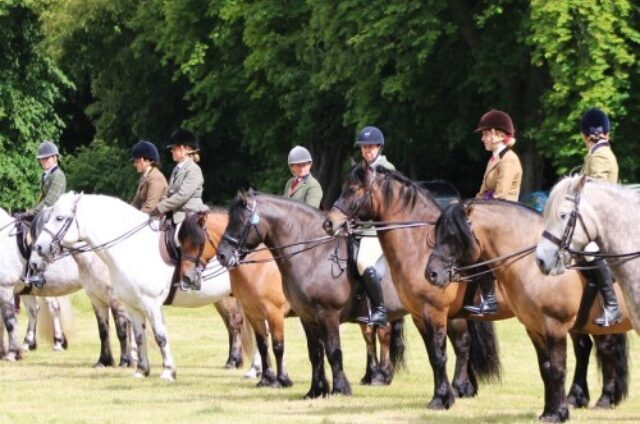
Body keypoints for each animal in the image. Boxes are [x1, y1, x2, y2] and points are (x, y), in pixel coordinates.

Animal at [31, 192, 254, 380]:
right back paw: (250, 369)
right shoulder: (131, 305)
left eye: (59, 218)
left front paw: (168, 371)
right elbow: (138, 336)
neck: (131, 247)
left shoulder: (150, 304)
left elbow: (160, 336)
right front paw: (141, 370)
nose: (39, 249)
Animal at [179, 209, 405, 387]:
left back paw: (382, 376)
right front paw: (266, 379)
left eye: (196, 242)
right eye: (180, 242)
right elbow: (263, 345)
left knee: (382, 334)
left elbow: (278, 345)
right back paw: (370, 375)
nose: (186, 277)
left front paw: (282, 379)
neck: (259, 266)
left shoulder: (274, 313)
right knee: (369, 336)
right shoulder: (254, 314)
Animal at [216, 191, 493, 400]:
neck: (312, 254)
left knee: (462, 344)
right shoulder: (307, 318)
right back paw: (466, 387)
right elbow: (314, 353)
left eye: (239, 222)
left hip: (444, 313)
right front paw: (316, 390)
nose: (221, 255)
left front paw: (340, 388)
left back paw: (458, 387)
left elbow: (332, 351)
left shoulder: (325, 314)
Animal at [323, 165, 502, 409]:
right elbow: (434, 355)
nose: (329, 223)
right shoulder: (420, 315)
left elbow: (440, 354)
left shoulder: (435, 312)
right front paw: (442, 395)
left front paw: (442, 398)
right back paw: (464, 387)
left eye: (352, 189)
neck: (419, 247)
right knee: (463, 344)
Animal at [425, 199, 632, 421]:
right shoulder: (534, 328)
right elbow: (546, 369)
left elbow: (558, 369)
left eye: (453, 236)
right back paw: (600, 399)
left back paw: (603, 399)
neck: (533, 265)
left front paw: (559, 414)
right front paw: (550, 411)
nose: (431, 274)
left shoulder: (555, 326)